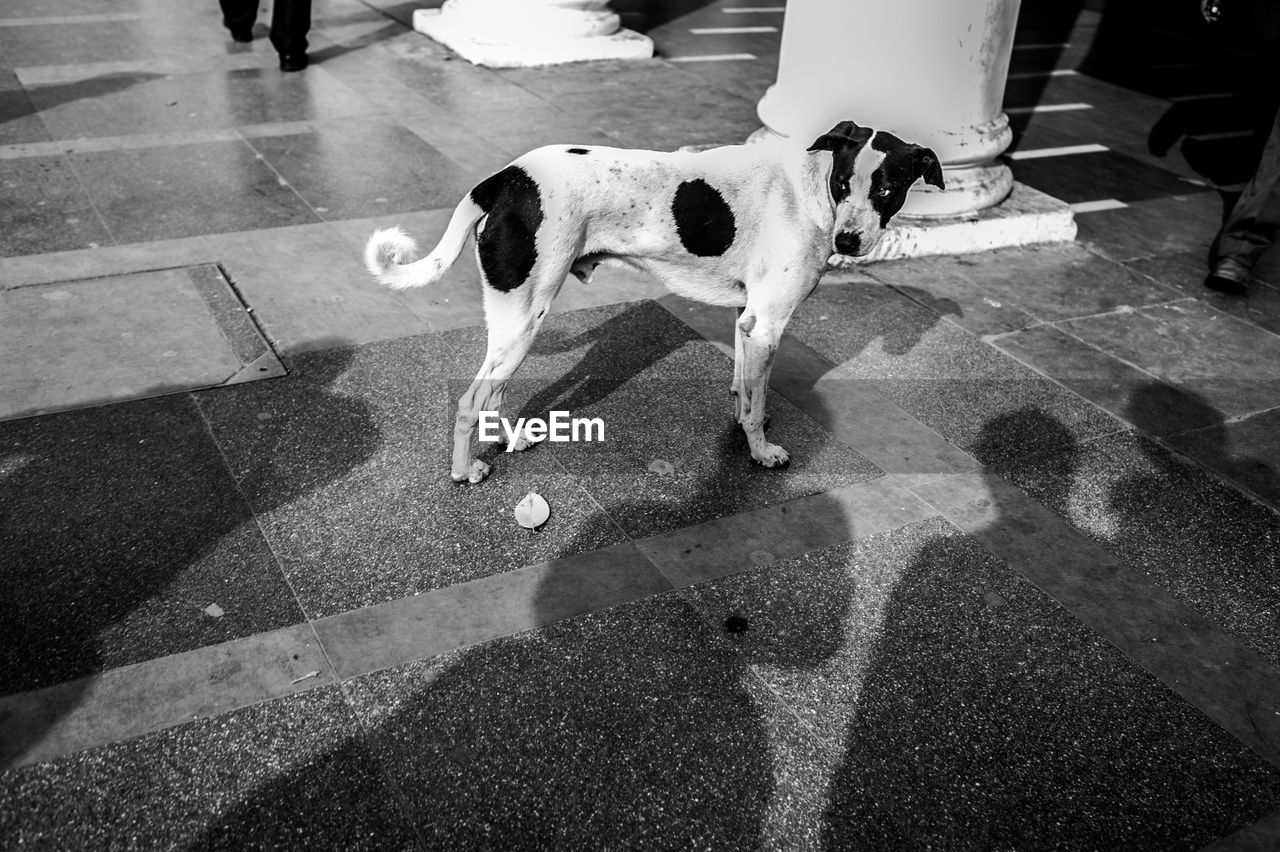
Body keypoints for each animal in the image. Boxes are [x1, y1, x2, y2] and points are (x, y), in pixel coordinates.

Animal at [366, 119, 947, 481]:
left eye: (887, 190)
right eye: (844, 183)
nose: (847, 242)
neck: (809, 187)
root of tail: (504, 178)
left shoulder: (747, 321)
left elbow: (745, 387)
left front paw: (742, 415)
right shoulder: (768, 325)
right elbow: (757, 407)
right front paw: (760, 452)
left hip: (513, 324)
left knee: (494, 393)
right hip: (525, 318)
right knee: (472, 401)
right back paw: (464, 472)